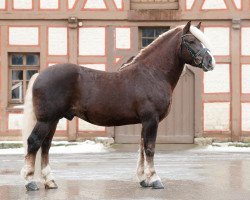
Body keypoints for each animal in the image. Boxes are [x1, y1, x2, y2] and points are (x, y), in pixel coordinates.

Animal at [20, 21, 215, 191]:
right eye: (191, 41)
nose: (210, 62)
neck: (152, 74)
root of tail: (39, 75)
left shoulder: (145, 122)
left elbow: (142, 148)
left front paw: (144, 180)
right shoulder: (151, 120)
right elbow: (150, 149)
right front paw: (155, 179)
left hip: (53, 120)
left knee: (45, 146)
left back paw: (50, 181)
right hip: (46, 120)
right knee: (34, 142)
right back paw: (30, 182)